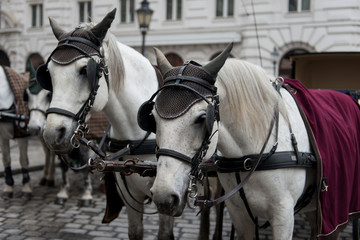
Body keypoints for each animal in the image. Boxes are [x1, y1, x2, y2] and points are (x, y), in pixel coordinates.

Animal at [38, 8, 174, 239]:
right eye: (49, 74)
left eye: (85, 70)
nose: (52, 134)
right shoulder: (129, 194)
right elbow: (135, 232)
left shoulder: (168, 196)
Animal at [145, 44, 322, 239]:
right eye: (153, 118)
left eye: (202, 118)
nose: (163, 196)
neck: (250, 158)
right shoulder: (239, 215)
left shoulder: (284, 217)